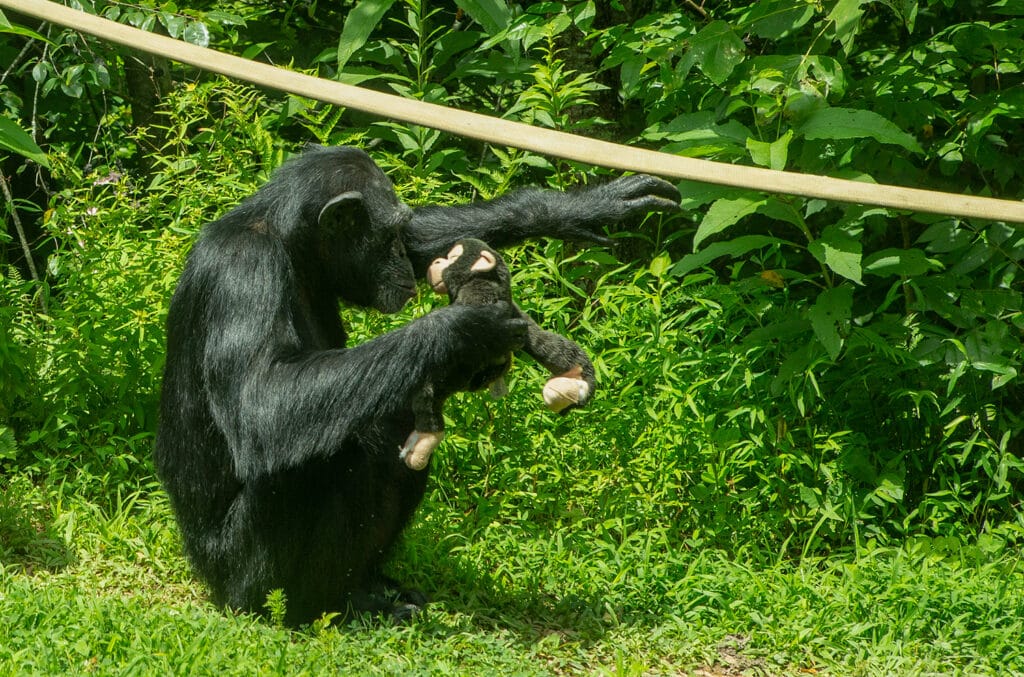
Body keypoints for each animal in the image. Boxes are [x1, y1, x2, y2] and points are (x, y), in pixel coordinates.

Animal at [397, 238, 598, 469]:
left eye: (453, 258)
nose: (437, 261)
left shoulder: (478, 292)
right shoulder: (515, 309)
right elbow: (546, 343)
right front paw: (580, 381)